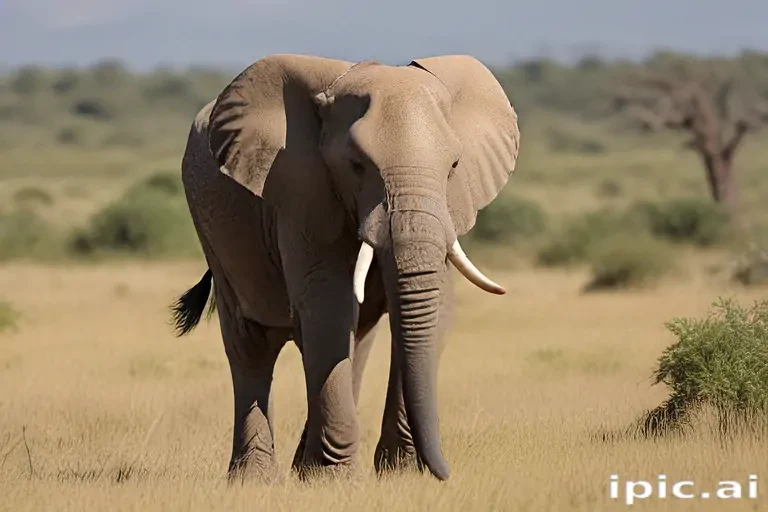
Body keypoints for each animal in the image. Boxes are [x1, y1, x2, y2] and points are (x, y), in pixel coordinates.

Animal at [171, 54, 520, 482]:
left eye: (454, 165)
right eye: (356, 165)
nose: (445, 472)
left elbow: (433, 308)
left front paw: (401, 474)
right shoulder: (303, 193)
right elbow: (328, 303)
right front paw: (335, 478)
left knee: (354, 339)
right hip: (211, 229)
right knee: (251, 343)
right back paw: (255, 479)